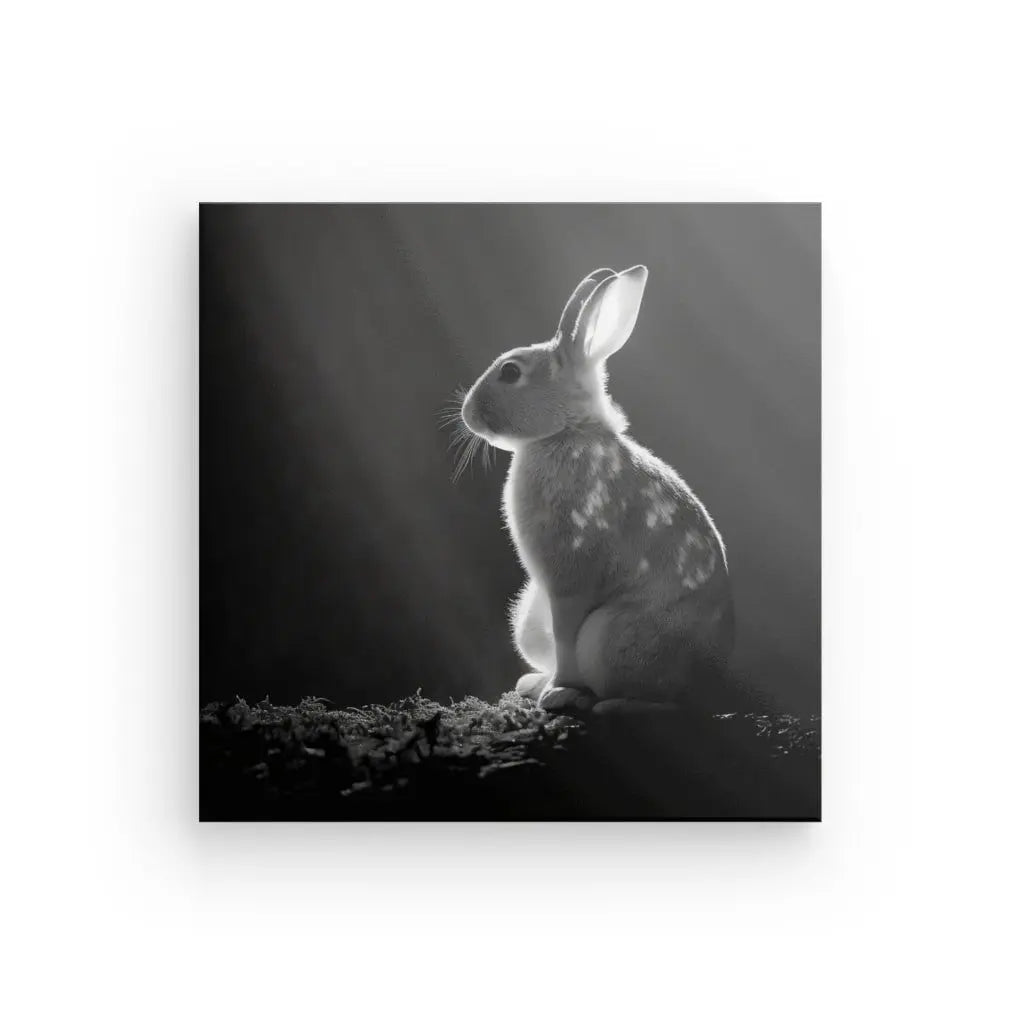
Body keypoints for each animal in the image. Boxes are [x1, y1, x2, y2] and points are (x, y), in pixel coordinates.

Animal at [460, 265, 734, 714]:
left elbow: (566, 636)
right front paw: (542, 688)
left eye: (511, 372)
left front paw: (557, 693)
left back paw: (604, 704)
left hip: (609, 636)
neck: (565, 432)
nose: (467, 414)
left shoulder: (570, 581)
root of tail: (707, 685)